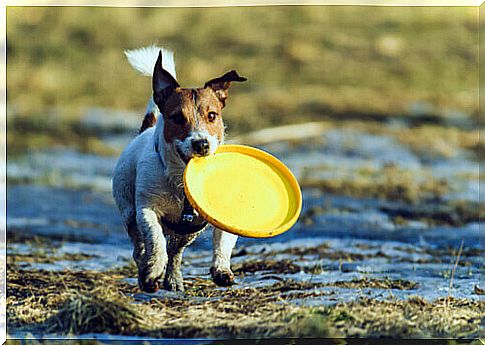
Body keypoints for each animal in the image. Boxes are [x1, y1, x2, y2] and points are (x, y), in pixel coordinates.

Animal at [110, 45, 246, 292]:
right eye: (177, 118)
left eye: (212, 115)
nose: (201, 144)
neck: (182, 181)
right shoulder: (146, 210)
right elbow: (155, 240)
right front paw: (153, 268)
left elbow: (223, 242)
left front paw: (222, 270)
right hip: (129, 214)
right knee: (140, 248)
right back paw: (147, 272)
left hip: (188, 232)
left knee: (176, 252)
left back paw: (173, 279)